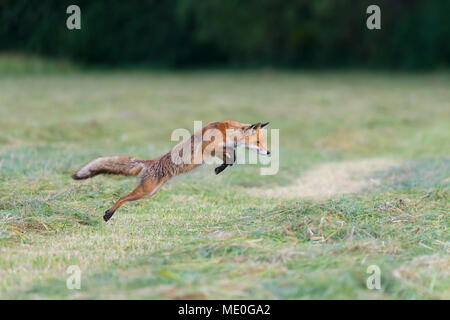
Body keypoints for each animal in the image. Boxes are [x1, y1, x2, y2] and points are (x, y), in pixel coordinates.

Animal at [72, 120, 270, 222]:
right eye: (258, 142)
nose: (268, 152)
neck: (227, 132)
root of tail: (150, 163)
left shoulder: (223, 148)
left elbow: (232, 157)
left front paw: (220, 168)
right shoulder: (209, 149)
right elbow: (230, 156)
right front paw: (219, 167)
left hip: (150, 193)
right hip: (145, 191)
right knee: (122, 197)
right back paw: (108, 214)